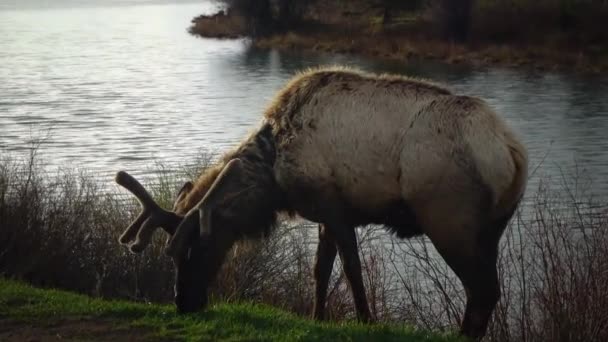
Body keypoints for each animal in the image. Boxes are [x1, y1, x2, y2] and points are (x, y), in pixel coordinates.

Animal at [114, 65, 528, 340]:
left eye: (194, 247)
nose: (184, 302)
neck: (274, 179)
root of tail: (513, 152)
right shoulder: (327, 217)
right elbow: (320, 271)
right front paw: (317, 318)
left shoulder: (335, 207)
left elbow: (352, 270)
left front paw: (366, 320)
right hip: (493, 226)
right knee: (487, 291)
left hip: (448, 218)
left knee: (483, 291)